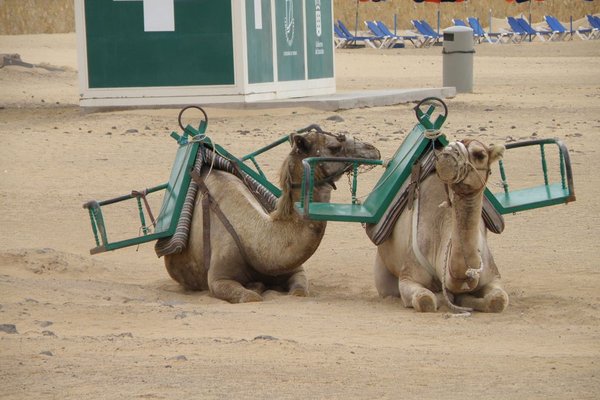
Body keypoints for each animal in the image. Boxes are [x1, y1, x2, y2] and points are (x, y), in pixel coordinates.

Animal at [164, 129, 380, 304]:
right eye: (334, 146)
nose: (373, 149)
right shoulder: (218, 278)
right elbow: (251, 297)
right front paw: (256, 287)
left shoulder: (297, 270)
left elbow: (299, 292)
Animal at [372, 140, 508, 312]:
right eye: (452, 146)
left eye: (480, 154)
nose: (447, 157)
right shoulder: (408, 277)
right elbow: (426, 300)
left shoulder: (493, 276)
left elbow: (497, 300)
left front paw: (468, 300)